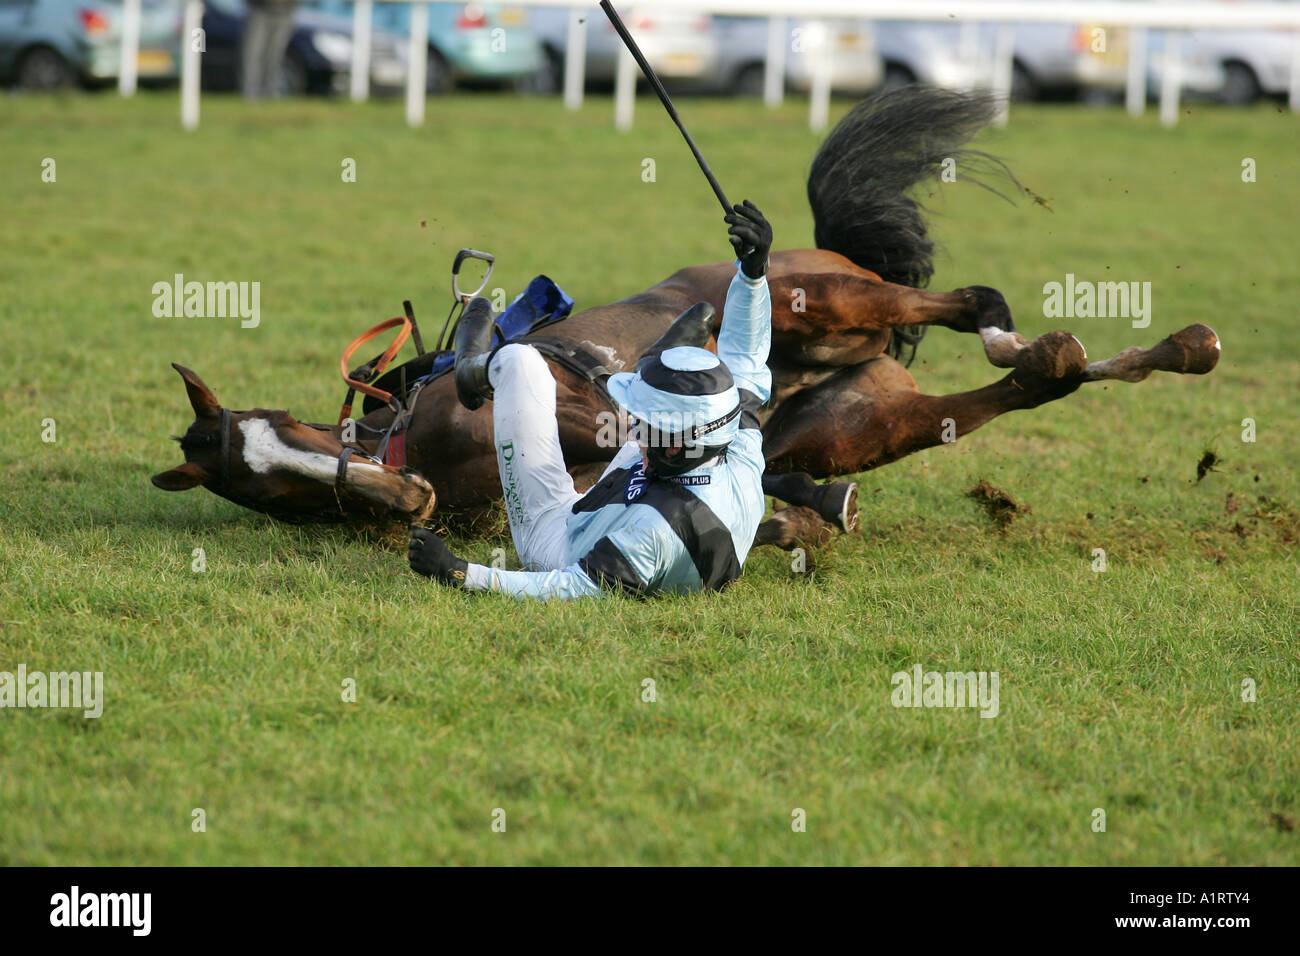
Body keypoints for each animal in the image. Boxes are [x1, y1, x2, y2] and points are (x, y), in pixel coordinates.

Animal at [149, 91, 1216, 554]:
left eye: (288, 431)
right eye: (273, 490)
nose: (404, 499)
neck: (427, 443)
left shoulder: (583, 401)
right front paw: (798, 518)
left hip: (830, 303)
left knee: (962, 303)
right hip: (865, 415)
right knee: (1027, 384)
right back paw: (1107, 353)